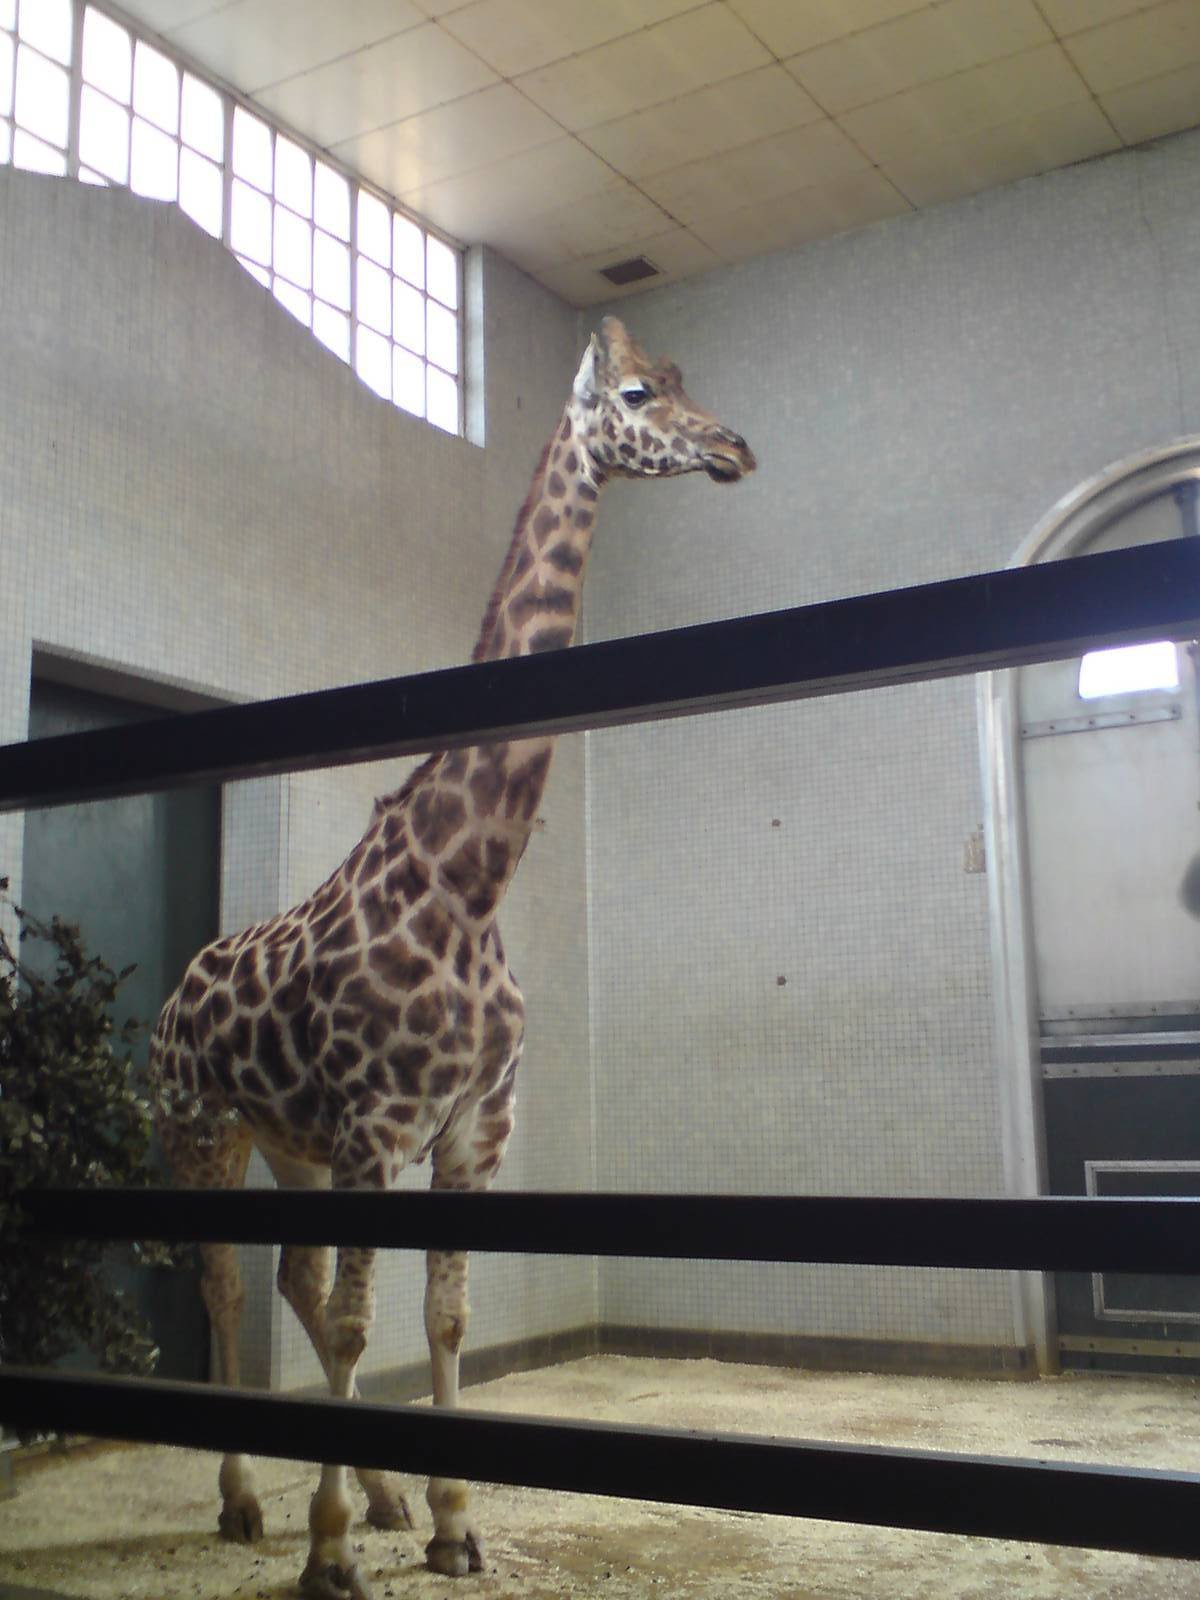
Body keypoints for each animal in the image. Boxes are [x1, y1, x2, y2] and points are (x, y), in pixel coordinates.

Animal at [150, 316, 755, 1600]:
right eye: (639, 393)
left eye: (685, 380)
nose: (736, 447)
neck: (470, 882)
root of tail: (174, 989)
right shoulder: (380, 1121)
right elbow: (354, 1326)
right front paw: (330, 1549)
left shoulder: (471, 1127)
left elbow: (440, 1320)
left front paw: (446, 1523)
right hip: (203, 1131)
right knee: (225, 1281)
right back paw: (242, 1501)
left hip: (294, 1145)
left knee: (293, 1279)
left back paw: (364, 1493)